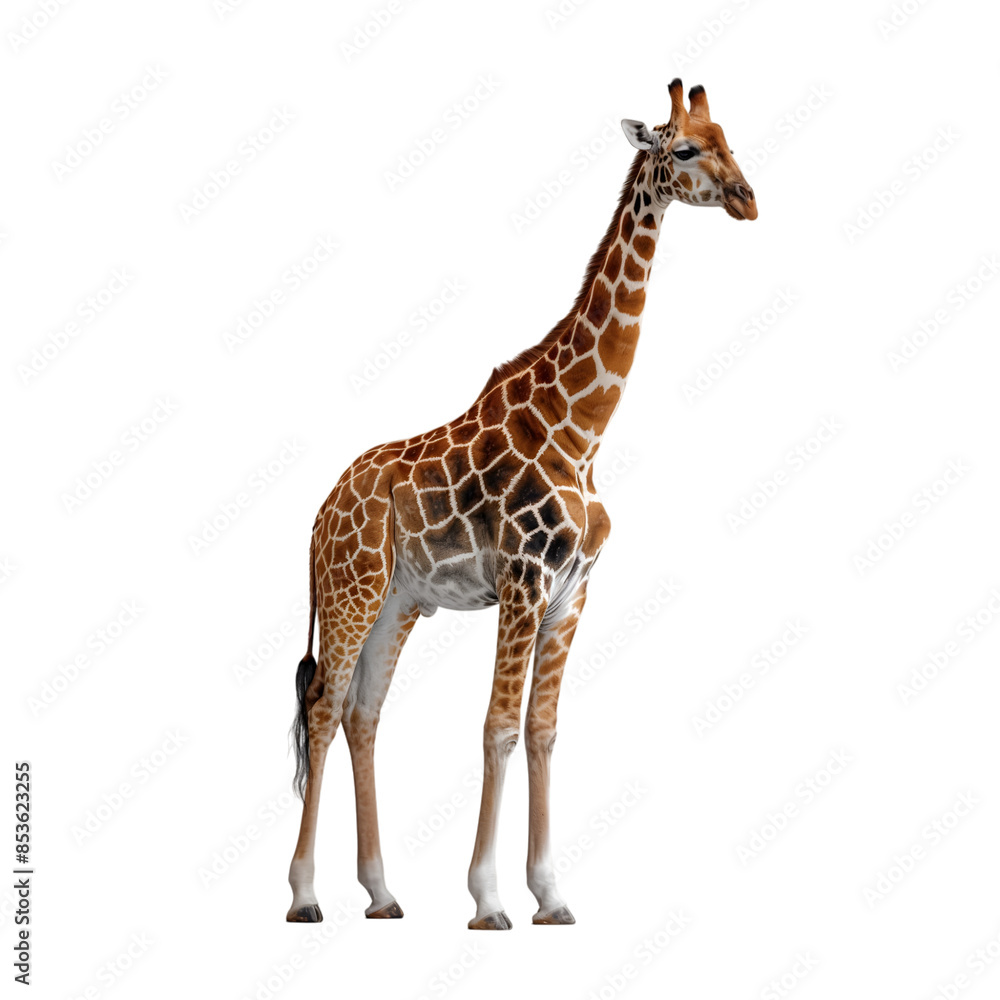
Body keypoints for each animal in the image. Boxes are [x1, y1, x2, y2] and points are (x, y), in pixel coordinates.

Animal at [286, 78, 757, 929]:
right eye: (682, 149)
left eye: (730, 141)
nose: (748, 200)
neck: (582, 429)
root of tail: (318, 516)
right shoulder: (523, 578)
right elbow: (498, 727)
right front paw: (488, 899)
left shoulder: (573, 589)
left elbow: (542, 729)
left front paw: (552, 895)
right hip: (350, 591)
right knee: (322, 708)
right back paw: (305, 895)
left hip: (398, 601)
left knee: (363, 715)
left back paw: (381, 893)